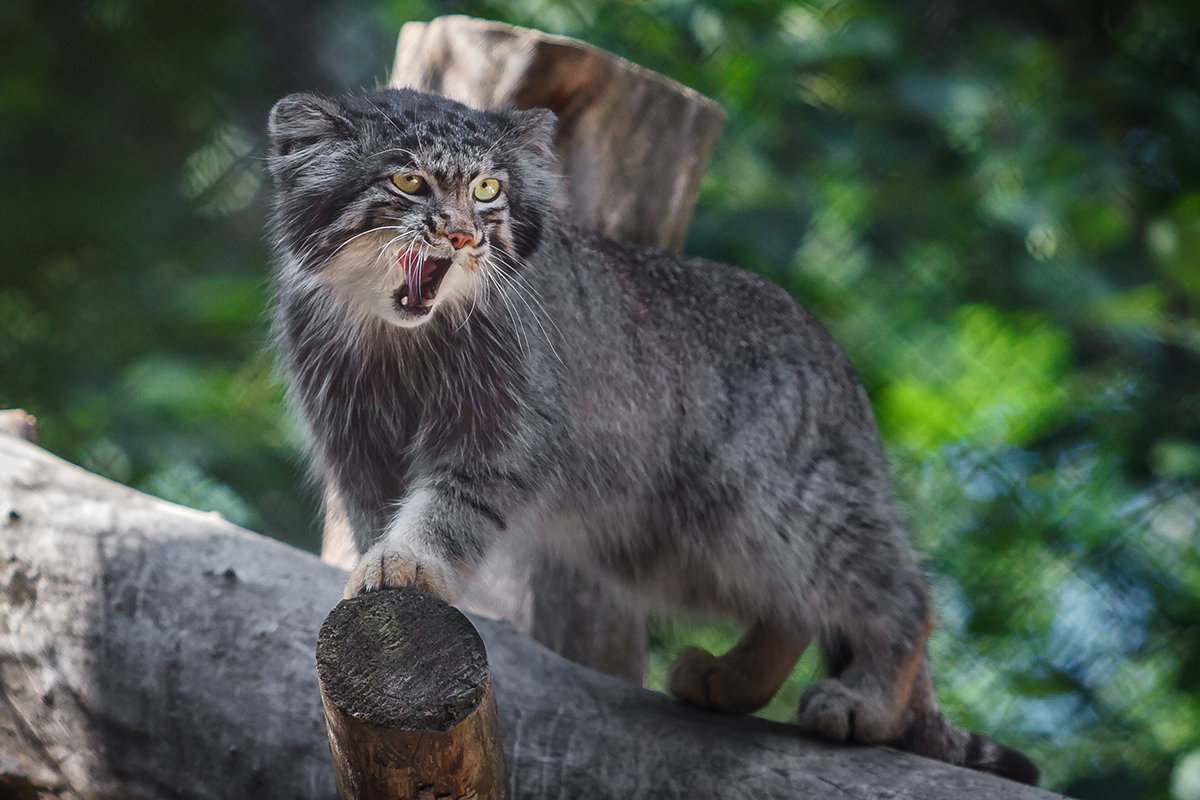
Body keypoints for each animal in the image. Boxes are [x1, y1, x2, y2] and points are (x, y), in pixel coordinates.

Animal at [267, 87, 1036, 782]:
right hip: (671, 545)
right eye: (408, 181)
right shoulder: (354, 440)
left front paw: (410, 564)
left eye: (488, 189)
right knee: (793, 605)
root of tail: (839, 366)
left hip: (774, 504)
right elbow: (375, 514)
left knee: (899, 590)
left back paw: (868, 703)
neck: (398, 341)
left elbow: (445, 510)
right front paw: (376, 569)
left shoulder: (504, 432)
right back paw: (732, 681)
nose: (462, 236)